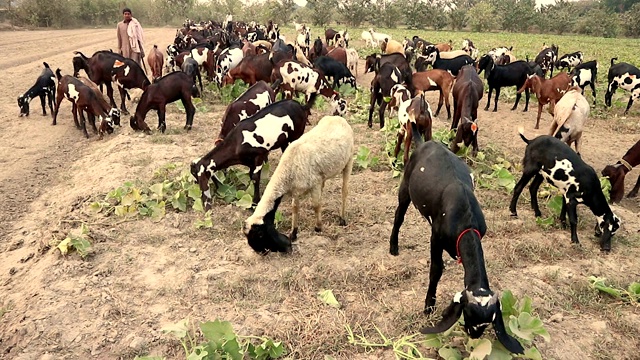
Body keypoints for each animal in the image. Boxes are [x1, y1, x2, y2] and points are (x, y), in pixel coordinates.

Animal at [244, 115, 356, 253]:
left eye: (260, 234)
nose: (262, 253)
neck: (288, 168)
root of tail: (337, 117)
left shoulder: (315, 183)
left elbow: (316, 205)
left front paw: (318, 227)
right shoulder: (296, 189)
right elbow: (295, 208)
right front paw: (294, 233)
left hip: (349, 160)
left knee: (344, 191)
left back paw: (342, 219)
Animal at [390, 126, 524, 354]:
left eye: (489, 322)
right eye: (467, 313)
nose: (474, 335)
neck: (465, 219)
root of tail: (425, 142)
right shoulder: (436, 237)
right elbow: (436, 270)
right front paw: (429, 305)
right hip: (405, 188)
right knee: (399, 216)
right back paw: (393, 246)